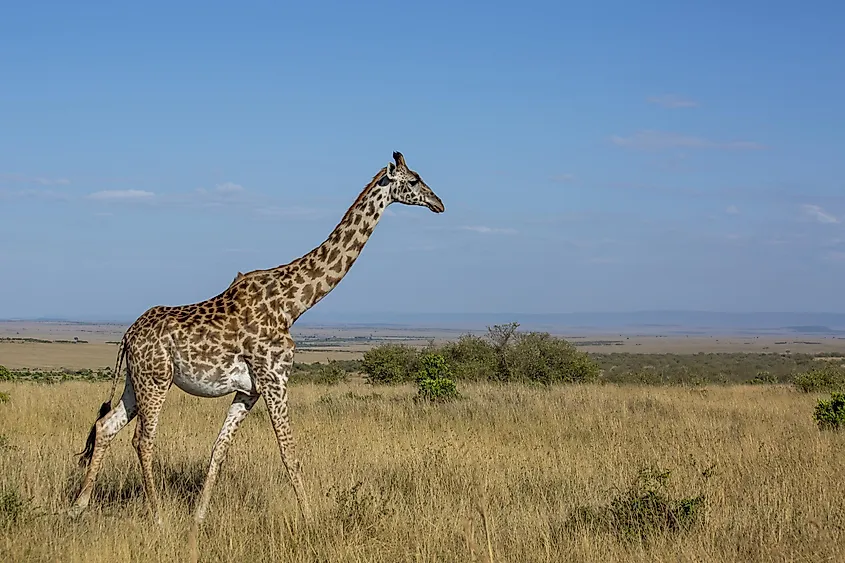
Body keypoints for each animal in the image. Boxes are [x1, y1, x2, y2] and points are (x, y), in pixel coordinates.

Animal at [69, 152, 446, 528]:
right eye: (414, 180)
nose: (439, 203)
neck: (293, 304)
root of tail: (127, 334)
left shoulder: (248, 389)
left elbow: (219, 450)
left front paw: (199, 517)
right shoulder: (275, 378)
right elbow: (289, 452)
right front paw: (311, 519)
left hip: (136, 381)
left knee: (105, 426)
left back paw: (79, 505)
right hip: (157, 380)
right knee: (142, 440)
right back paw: (158, 516)